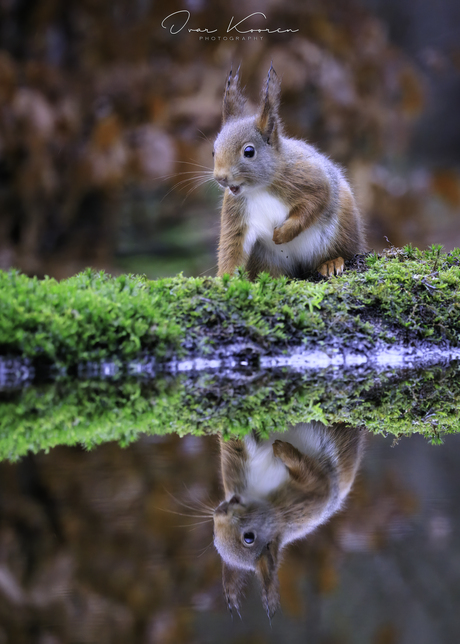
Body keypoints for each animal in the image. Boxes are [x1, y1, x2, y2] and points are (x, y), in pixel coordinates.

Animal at [213, 66, 366, 280]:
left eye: (249, 151)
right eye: (213, 151)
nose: (220, 177)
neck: (258, 189)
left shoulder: (307, 178)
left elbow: (314, 202)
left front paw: (282, 234)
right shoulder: (236, 212)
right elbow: (232, 247)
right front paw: (223, 279)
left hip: (341, 228)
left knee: (341, 250)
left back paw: (331, 263)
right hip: (266, 260)